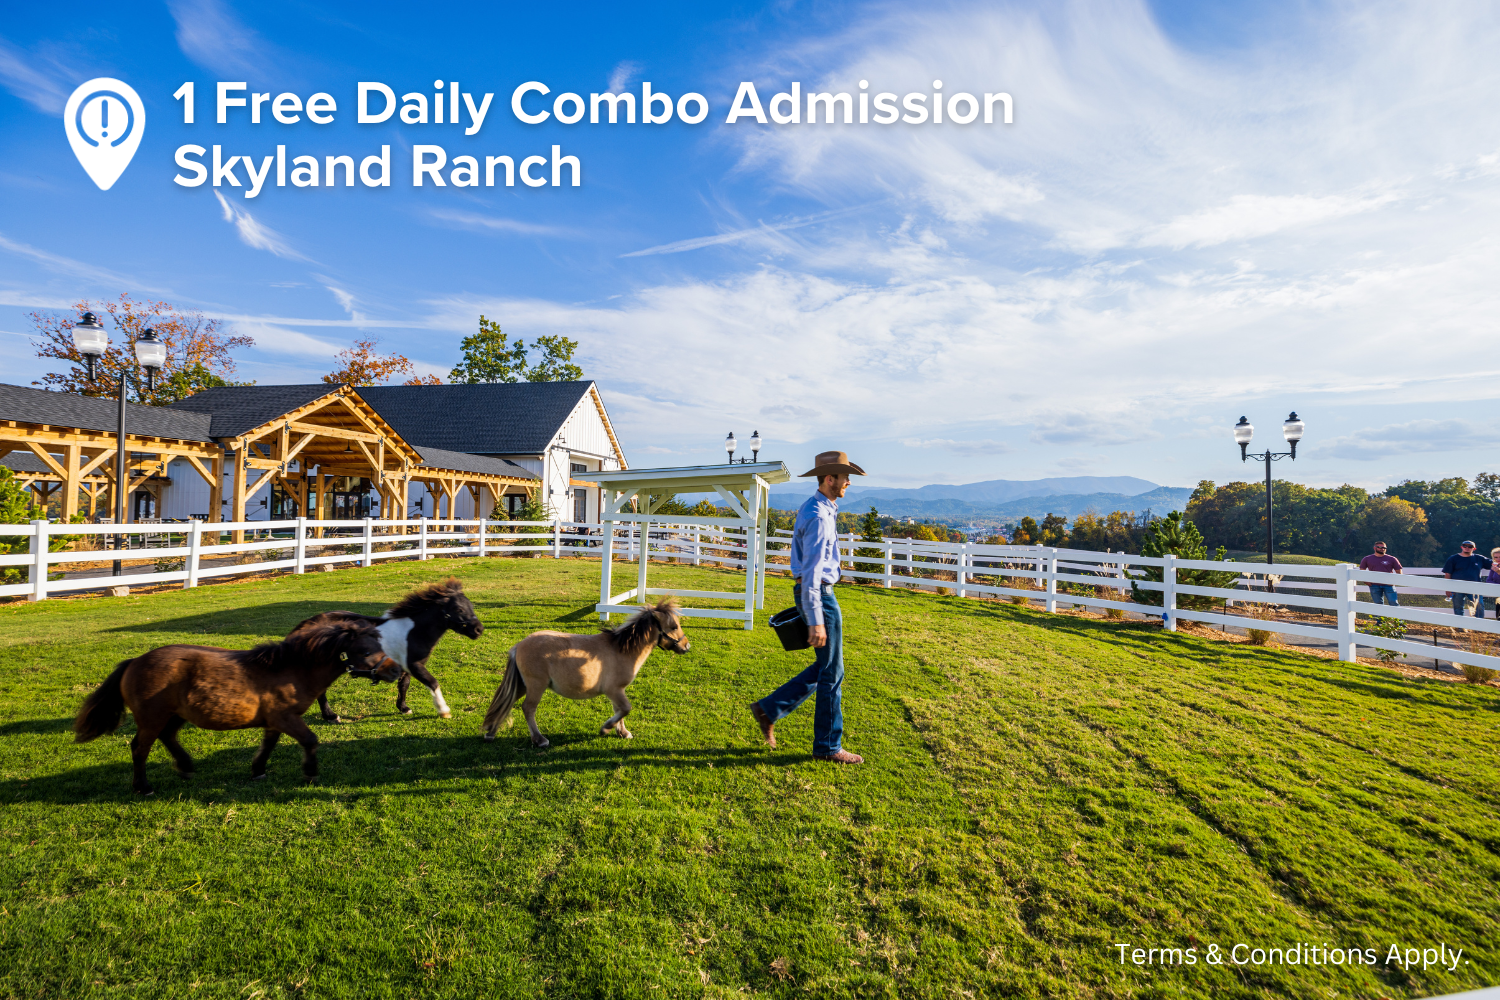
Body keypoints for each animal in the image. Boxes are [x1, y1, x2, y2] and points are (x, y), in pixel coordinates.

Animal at [73, 617, 402, 797]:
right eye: (366, 651)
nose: (397, 671)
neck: (290, 668)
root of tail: (134, 663)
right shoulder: (285, 718)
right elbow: (310, 740)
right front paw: (310, 772)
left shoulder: (275, 721)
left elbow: (268, 746)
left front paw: (258, 771)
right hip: (152, 719)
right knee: (140, 749)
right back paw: (143, 786)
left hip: (176, 715)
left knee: (168, 737)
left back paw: (186, 766)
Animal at [307, 578, 483, 719]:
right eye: (459, 609)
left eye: (471, 606)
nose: (479, 629)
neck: (413, 632)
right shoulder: (414, 665)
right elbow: (433, 683)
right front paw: (444, 711)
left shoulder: (406, 667)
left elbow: (403, 685)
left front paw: (403, 708)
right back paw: (330, 716)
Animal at [480, 599, 690, 746]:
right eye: (673, 626)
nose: (687, 647)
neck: (622, 649)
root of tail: (518, 646)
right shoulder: (614, 690)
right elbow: (625, 709)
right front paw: (606, 728)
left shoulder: (617, 691)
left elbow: (620, 710)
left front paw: (622, 732)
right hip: (535, 686)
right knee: (528, 708)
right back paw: (539, 740)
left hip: (523, 685)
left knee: (506, 702)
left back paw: (490, 732)